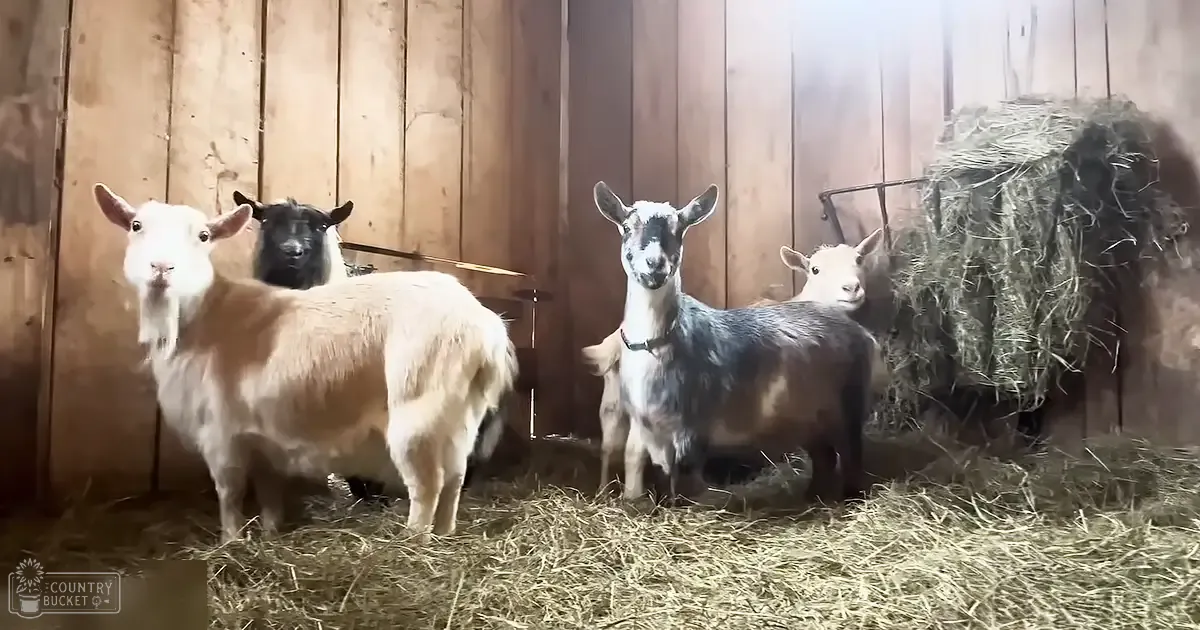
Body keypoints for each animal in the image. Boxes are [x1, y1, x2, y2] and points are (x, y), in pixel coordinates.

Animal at [92, 183, 517, 542]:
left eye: (203, 236)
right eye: (136, 226)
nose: (161, 268)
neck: (201, 314)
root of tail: (486, 328)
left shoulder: (220, 431)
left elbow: (229, 493)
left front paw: (230, 542)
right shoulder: (259, 435)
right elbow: (268, 492)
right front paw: (269, 534)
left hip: (418, 410)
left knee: (427, 484)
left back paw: (413, 543)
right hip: (460, 414)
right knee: (455, 478)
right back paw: (444, 537)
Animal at [591, 181, 877, 504]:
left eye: (680, 229)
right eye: (626, 227)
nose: (655, 265)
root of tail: (860, 332)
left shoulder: (693, 425)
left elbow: (686, 480)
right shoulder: (650, 427)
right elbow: (654, 469)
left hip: (849, 399)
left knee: (851, 453)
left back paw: (852, 497)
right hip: (810, 415)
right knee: (824, 457)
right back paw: (813, 497)